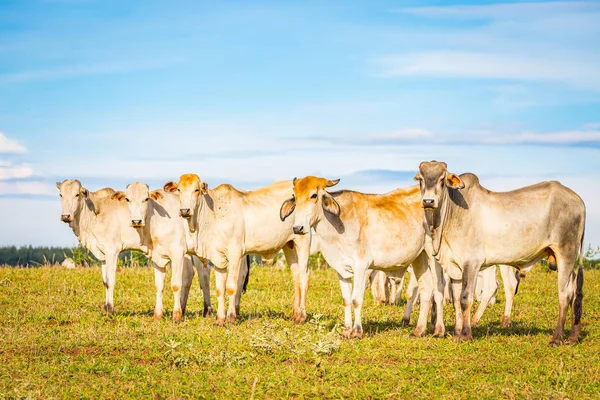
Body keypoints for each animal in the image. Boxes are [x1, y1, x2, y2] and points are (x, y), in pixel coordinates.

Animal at [54, 180, 211, 320]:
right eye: (61, 194)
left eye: (77, 194)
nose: (65, 216)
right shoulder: (103, 254)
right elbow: (105, 281)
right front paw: (105, 309)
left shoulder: (112, 250)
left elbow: (110, 281)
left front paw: (110, 310)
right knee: (192, 275)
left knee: (201, 275)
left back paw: (204, 310)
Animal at [165, 174, 314, 324]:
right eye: (179, 190)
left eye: (196, 190)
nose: (184, 211)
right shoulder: (218, 256)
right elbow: (219, 289)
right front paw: (220, 319)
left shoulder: (235, 253)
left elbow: (231, 287)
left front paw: (230, 317)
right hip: (289, 245)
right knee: (296, 275)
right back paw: (295, 314)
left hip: (303, 240)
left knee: (304, 276)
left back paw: (301, 316)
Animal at [278, 175, 442, 338]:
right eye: (295, 197)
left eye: (313, 195)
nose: (297, 228)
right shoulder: (341, 270)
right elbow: (346, 300)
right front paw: (346, 330)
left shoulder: (361, 266)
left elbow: (356, 299)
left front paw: (357, 331)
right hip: (420, 257)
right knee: (426, 290)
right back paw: (419, 330)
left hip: (434, 255)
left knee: (438, 289)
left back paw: (439, 330)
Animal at [414, 161, 584, 346]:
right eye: (421, 179)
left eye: (442, 180)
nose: (428, 201)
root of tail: (578, 200)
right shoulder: (455, 267)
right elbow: (457, 301)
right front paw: (457, 333)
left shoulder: (471, 263)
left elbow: (466, 298)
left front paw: (465, 334)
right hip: (568, 260)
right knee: (575, 291)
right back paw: (573, 336)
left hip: (565, 253)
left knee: (564, 294)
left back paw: (557, 337)